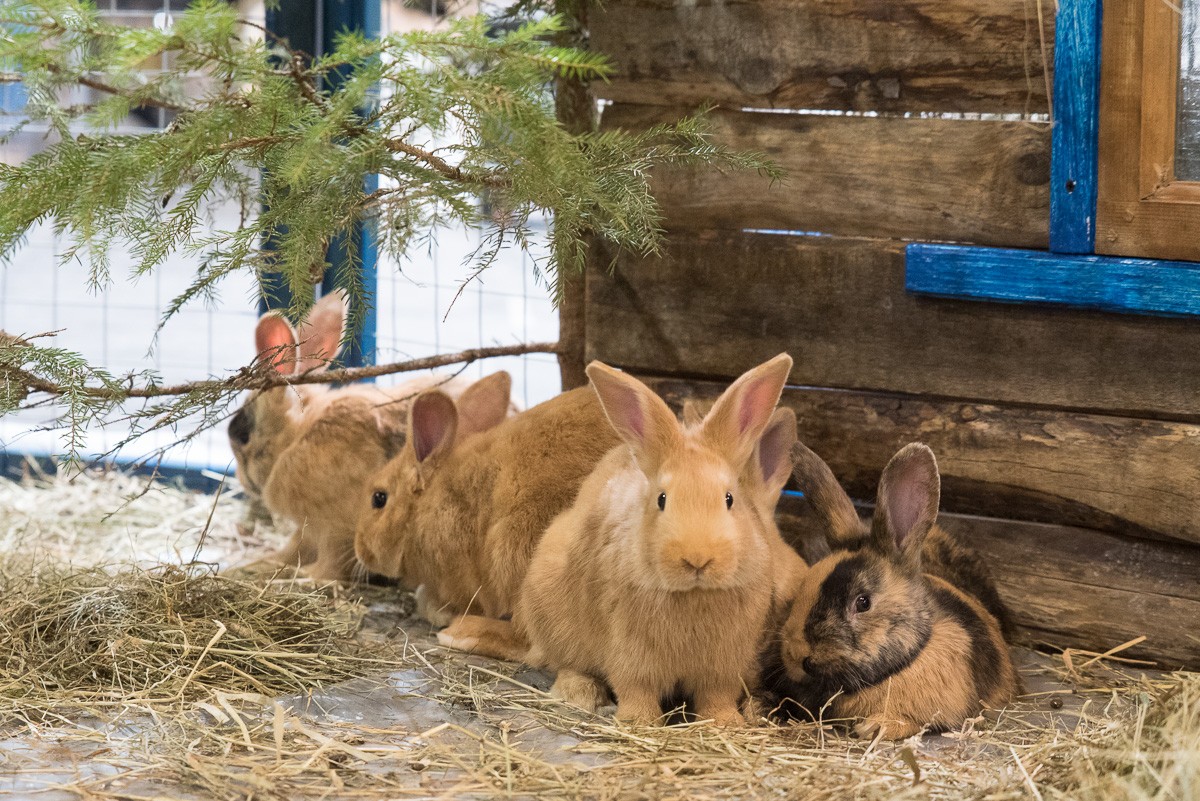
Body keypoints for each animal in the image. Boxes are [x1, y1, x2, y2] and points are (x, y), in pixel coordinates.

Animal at [228, 291, 482, 577]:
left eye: (242, 433)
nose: (242, 479)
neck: (297, 437)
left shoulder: (336, 530)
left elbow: (328, 567)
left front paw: (304, 576)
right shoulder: (309, 531)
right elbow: (291, 551)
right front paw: (258, 565)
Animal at [506, 354, 796, 724]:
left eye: (729, 498)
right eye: (661, 499)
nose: (697, 559)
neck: (693, 593)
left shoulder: (724, 665)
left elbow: (716, 695)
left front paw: (726, 723)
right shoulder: (630, 653)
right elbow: (636, 688)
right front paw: (638, 721)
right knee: (566, 664)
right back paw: (583, 693)